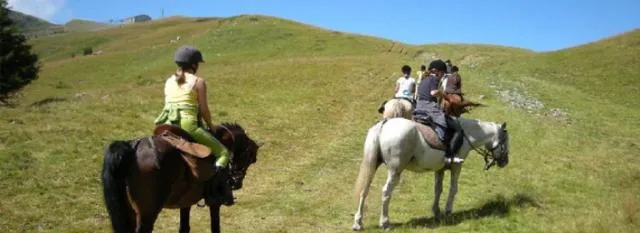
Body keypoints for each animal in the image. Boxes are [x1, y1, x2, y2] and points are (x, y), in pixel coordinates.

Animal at [100, 123, 260, 232]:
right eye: (251, 158)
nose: (237, 182)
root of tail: (132, 147)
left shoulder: (185, 202)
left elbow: (184, 227)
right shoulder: (215, 202)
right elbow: (215, 227)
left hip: (130, 212)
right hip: (147, 215)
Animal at [352, 117, 508, 230]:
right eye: (506, 141)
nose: (505, 162)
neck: (467, 134)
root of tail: (385, 123)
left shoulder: (440, 169)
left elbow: (438, 189)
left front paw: (436, 211)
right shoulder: (457, 167)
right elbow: (453, 188)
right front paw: (447, 211)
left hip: (373, 166)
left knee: (364, 190)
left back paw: (358, 223)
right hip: (395, 171)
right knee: (386, 192)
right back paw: (384, 222)